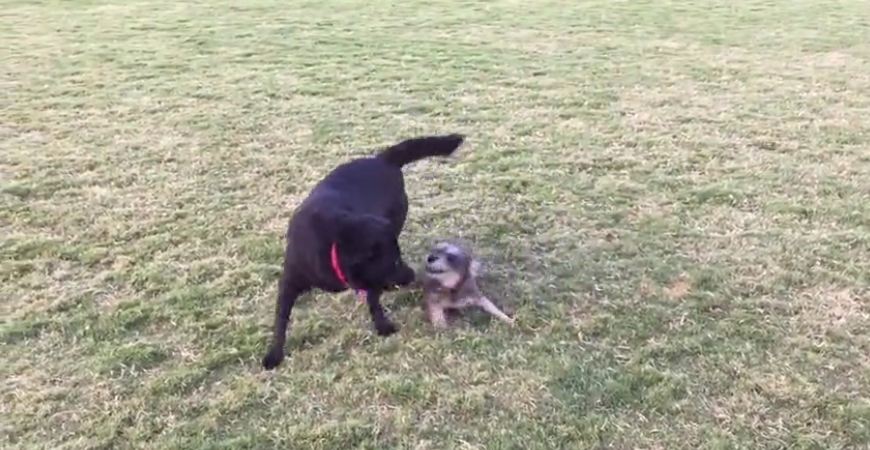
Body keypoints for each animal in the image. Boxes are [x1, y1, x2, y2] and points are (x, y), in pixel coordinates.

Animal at [262, 134, 466, 370]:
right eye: (394, 262)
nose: (412, 275)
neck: (334, 242)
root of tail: (382, 159)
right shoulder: (289, 282)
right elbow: (280, 320)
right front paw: (274, 354)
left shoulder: (371, 279)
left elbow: (373, 300)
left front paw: (382, 325)